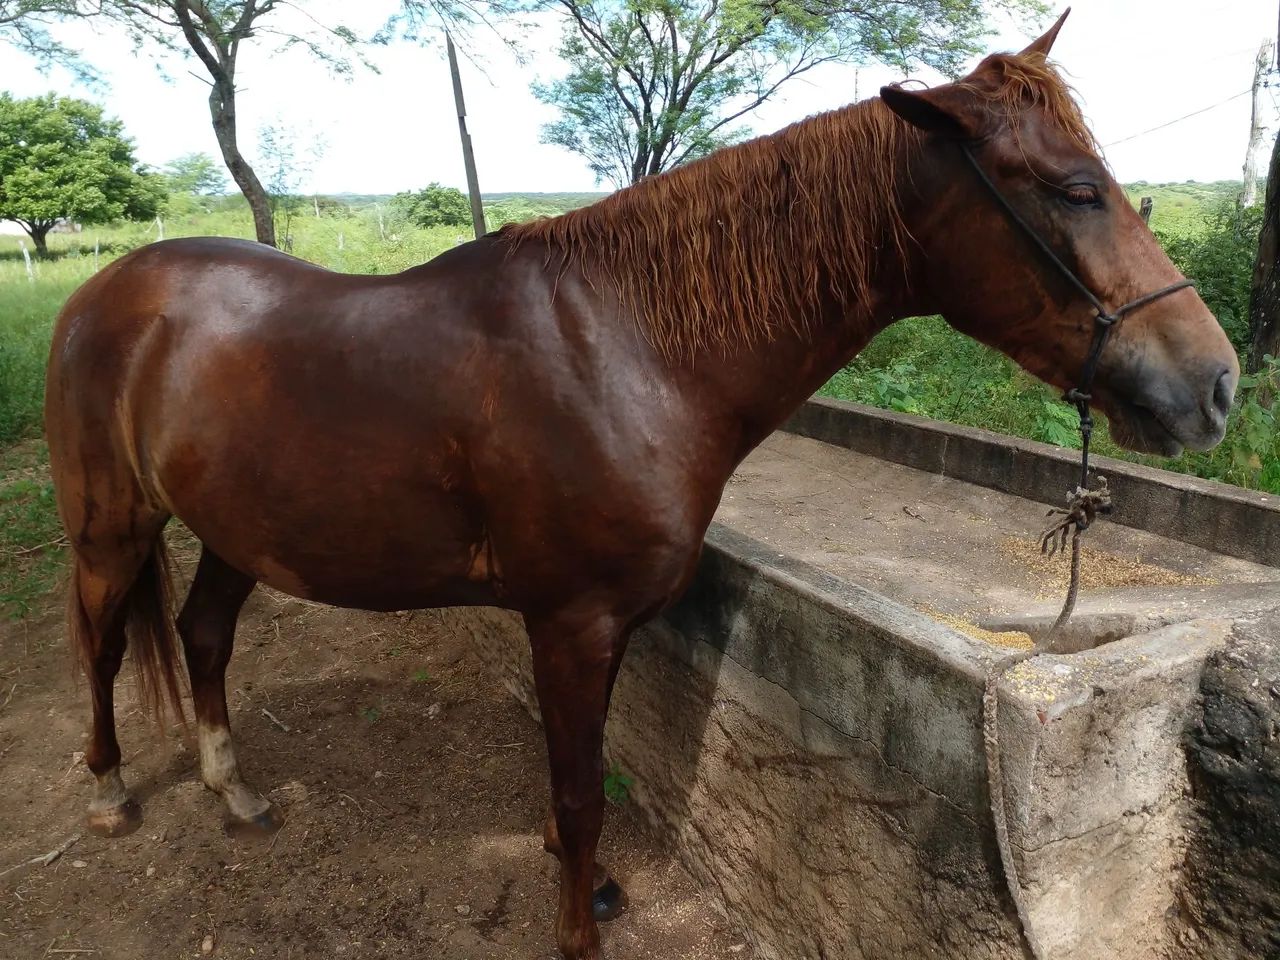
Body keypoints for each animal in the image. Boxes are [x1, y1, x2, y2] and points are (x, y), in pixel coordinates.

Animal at [44, 12, 1237, 959]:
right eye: (1076, 190)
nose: (1214, 386)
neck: (627, 350)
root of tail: (107, 289)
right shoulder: (572, 621)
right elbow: (580, 791)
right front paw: (578, 929)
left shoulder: (600, 627)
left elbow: (581, 772)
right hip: (111, 530)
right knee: (98, 646)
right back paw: (106, 793)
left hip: (235, 532)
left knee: (202, 636)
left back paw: (234, 790)